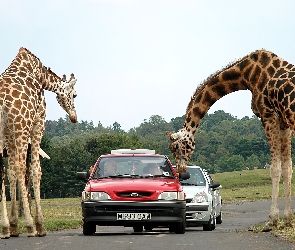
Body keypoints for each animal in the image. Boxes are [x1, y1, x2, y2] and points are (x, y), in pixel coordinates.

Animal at [0, 47, 77, 238]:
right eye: (75, 94)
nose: (74, 117)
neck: (40, 75)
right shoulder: (38, 122)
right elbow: (36, 170)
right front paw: (40, 225)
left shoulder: (8, 134)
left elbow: (11, 173)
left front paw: (13, 226)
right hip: (21, 127)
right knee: (22, 167)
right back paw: (30, 226)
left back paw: (5, 228)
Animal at [168, 49, 295, 230]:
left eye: (176, 147)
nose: (180, 170)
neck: (246, 75)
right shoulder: (283, 121)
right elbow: (287, 168)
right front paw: (288, 219)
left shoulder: (268, 115)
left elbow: (275, 169)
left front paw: (272, 220)